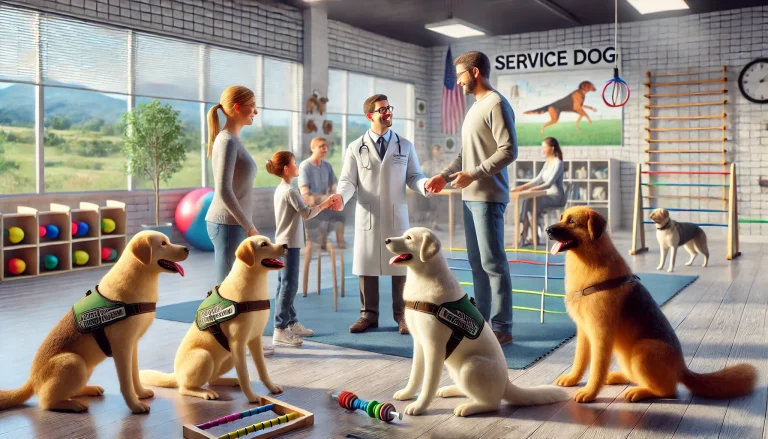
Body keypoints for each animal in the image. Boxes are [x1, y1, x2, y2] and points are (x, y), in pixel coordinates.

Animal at [0, 232, 189, 414]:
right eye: (163, 243)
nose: (186, 248)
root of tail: (31, 380)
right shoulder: (122, 348)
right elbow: (126, 382)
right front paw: (135, 406)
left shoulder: (133, 346)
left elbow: (134, 374)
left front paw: (141, 393)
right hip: (73, 362)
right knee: (46, 401)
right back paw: (73, 405)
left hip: (86, 367)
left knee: (70, 390)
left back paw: (88, 390)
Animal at [139, 237, 284, 402]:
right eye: (264, 244)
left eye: (269, 241)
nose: (285, 245)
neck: (255, 283)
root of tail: (175, 375)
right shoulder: (238, 344)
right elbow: (245, 376)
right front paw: (252, 396)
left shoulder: (254, 340)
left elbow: (263, 370)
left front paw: (272, 388)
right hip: (204, 357)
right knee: (184, 388)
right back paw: (204, 392)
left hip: (228, 357)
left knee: (212, 380)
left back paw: (230, 381)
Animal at [388, 229, 568, 418]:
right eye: (404, 235)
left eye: (409, 238)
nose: (386, 240)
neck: (423, 279)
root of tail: (506, 384)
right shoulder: (419, 343)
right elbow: (415, 375)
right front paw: (407, 394)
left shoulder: (434, 348)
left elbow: (429, 383)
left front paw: (419, 406)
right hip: (455, 367)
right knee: (470, 391)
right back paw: (450, 390)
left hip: (470, 366)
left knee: (492, 403)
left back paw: (467, 408)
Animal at [544, 208, 756, 404]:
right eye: (561, 218)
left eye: (572, 222)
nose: (547, 229)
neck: (589, 263)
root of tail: (682, 369)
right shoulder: (584, 332)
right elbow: (580, 360)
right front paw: (573, 379)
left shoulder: (601, 335)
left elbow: (597, 368)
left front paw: (589, 392)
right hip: (626, 353)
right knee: (637, 377)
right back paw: (620, 377)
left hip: (642, 350)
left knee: (668, 390)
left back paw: (640, 392)